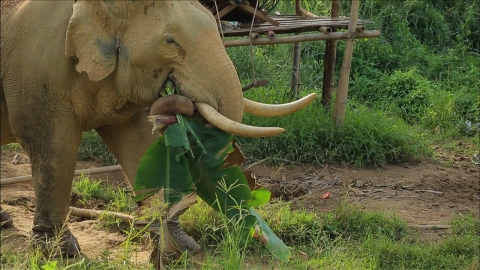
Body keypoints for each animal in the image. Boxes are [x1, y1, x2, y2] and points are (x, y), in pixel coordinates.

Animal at [0, 0, 316, 260]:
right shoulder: (37, 73)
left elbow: (135, 142)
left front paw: (176, 245)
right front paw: (60, 253)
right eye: (170, 41)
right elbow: (54, 144)